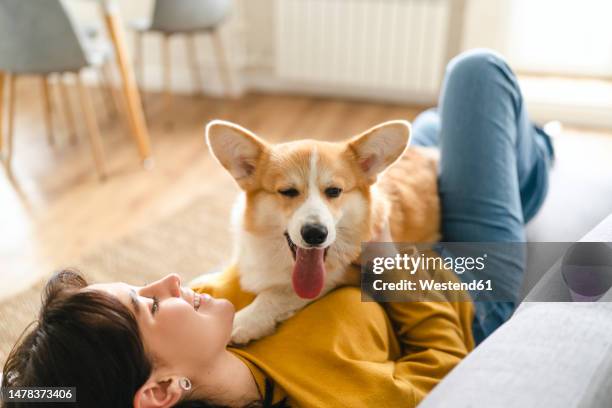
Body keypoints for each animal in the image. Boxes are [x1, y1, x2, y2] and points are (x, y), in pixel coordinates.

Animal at [207, 118, 440, 344]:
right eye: (288, 191)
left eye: (334, 191)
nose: (315, 234)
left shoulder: (344, 274)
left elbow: (277, 295)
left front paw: (244, 321)